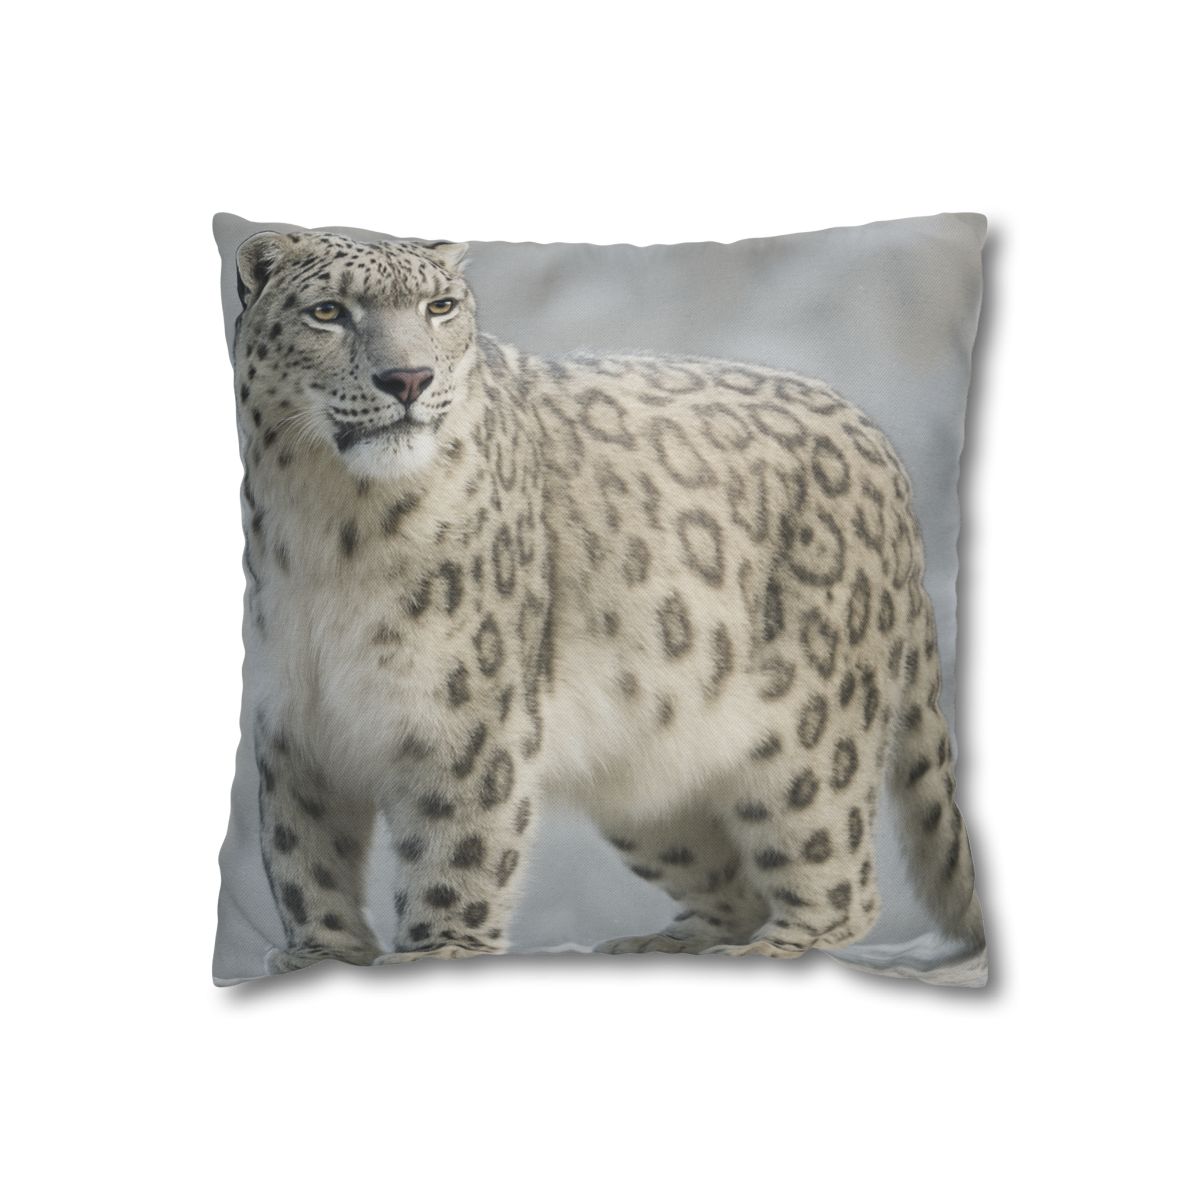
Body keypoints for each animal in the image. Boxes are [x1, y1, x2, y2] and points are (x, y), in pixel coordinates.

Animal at [231, 228, 984, 975]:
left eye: (439, 306)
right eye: (328, 312)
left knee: (835, 875)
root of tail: (877, 441)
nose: (409, 379)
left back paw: (775, 947)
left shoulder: (465, 715)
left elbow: (456, 845)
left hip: (812, 739)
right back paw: (667, 942)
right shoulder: (294, 724)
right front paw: (322, 955)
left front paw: (438, 951)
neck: (329, 528)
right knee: (730, 880)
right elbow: (303, 856)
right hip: (648, 781)